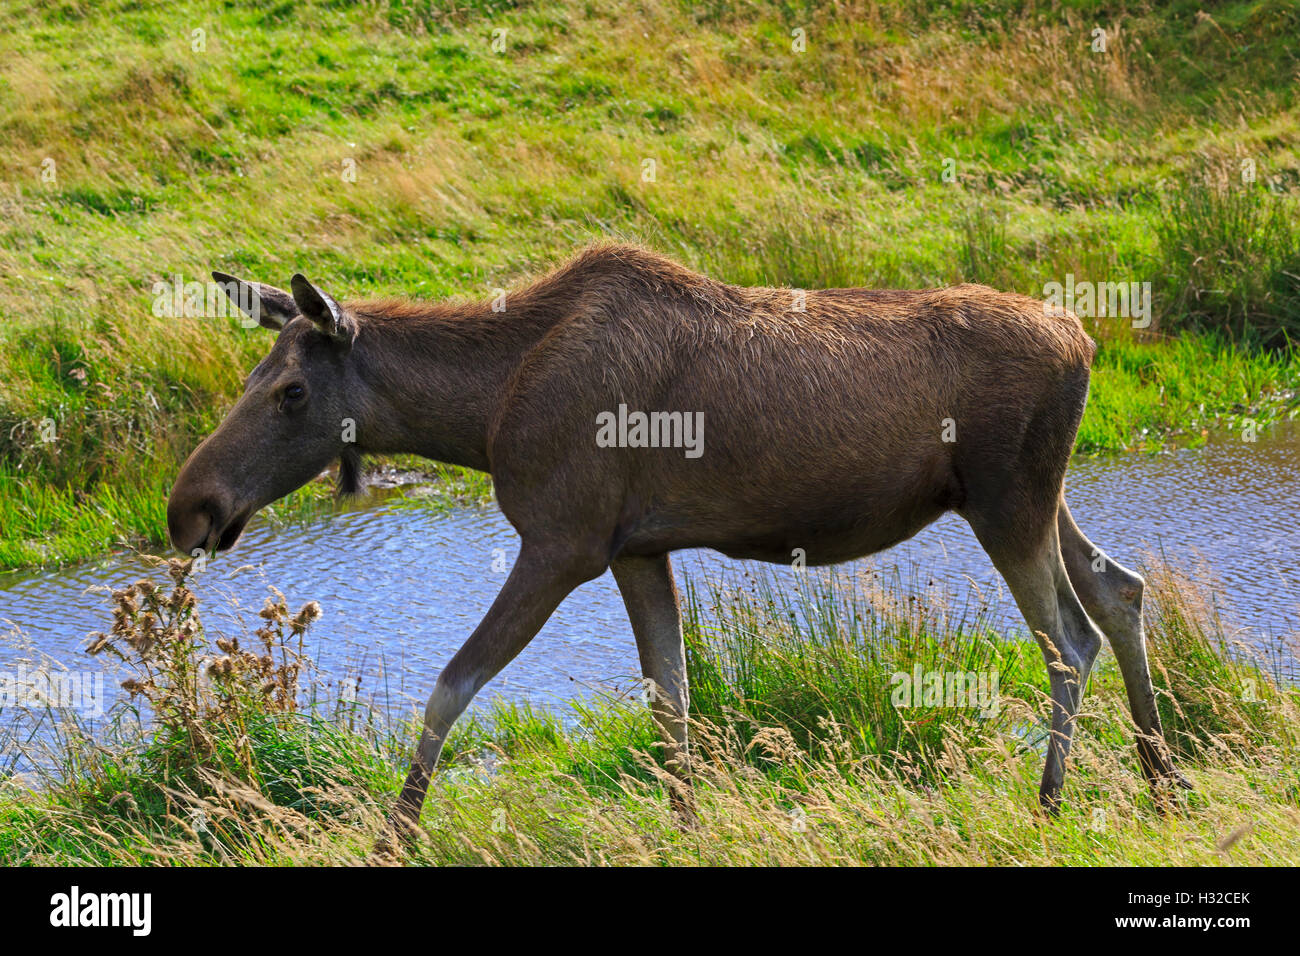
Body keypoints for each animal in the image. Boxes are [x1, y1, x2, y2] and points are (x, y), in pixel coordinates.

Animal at [170, 243, 1190, 848]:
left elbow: (451, 685)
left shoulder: (563, 543)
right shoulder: (635, 549)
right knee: (1120, 588)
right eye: (254, 376)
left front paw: (396, 835)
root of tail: (1087, 339)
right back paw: (1162, 779)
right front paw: (687, 825)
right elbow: (673, 699)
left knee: (1069, 637)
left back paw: (1053, 803)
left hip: (1008, 502)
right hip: (1027, 497)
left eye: (291, 392)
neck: (482, 412)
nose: (190, 508)